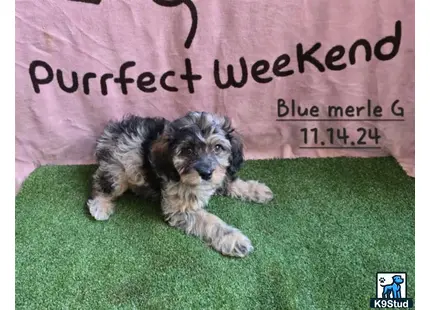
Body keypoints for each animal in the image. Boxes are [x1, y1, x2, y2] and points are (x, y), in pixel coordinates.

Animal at [87, 111, 274, 256]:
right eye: (188, 150)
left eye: (218, 148)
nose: (206, 173)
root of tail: (111, 132)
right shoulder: (179, 208)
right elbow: (210, 221)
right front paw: (234, 239)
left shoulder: (219, 175)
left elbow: (231, 182)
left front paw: (257, 190)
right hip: (117, 170)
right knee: (101, 183)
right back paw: (100, 206)